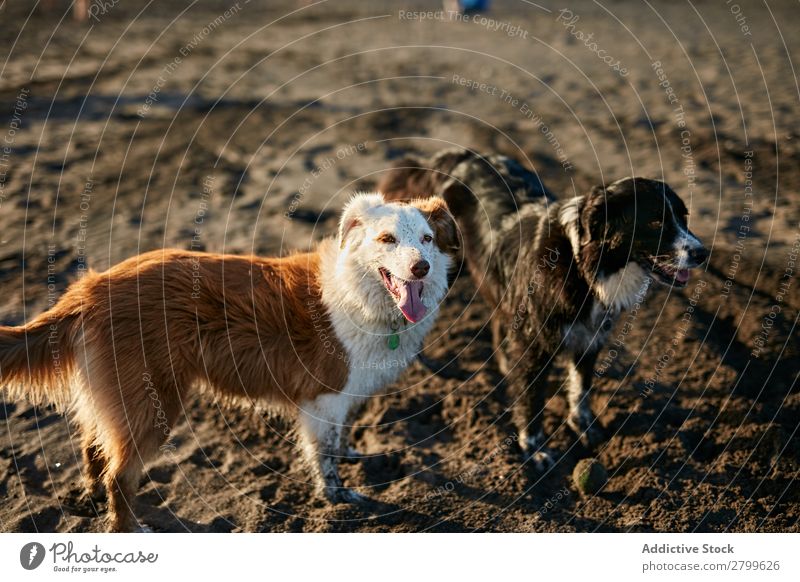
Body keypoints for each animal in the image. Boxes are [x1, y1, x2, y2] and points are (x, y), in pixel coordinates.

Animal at [1, 194, 456, 532]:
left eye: (428, 239)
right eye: (387, 239)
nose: (421, 268)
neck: (359, 291)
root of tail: (90, 288)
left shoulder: (341, 400)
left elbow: (340, 440)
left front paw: (351, 460)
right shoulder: (323, 398)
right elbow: (324, 456)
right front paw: (339, 500)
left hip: (116, 397)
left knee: (93, 449)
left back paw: (93, 499)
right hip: (154, 402)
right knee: (120, 474)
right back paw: (130, 528)